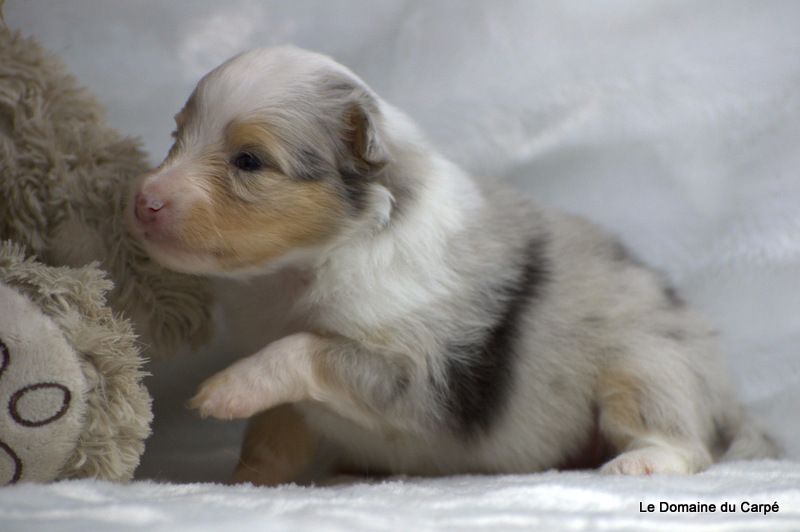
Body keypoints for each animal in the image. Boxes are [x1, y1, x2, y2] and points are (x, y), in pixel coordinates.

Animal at [128, 46, 776, 483]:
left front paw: (222, 391)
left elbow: (303, 350)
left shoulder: (415, 370)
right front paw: (245, 484)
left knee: (686, 444)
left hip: (647, 364)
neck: (305, 265)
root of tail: (728, 399)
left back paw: (635, 464)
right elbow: (269, 435)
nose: (141, 201)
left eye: (248, 160)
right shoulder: (293, 393)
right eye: (177, 135)